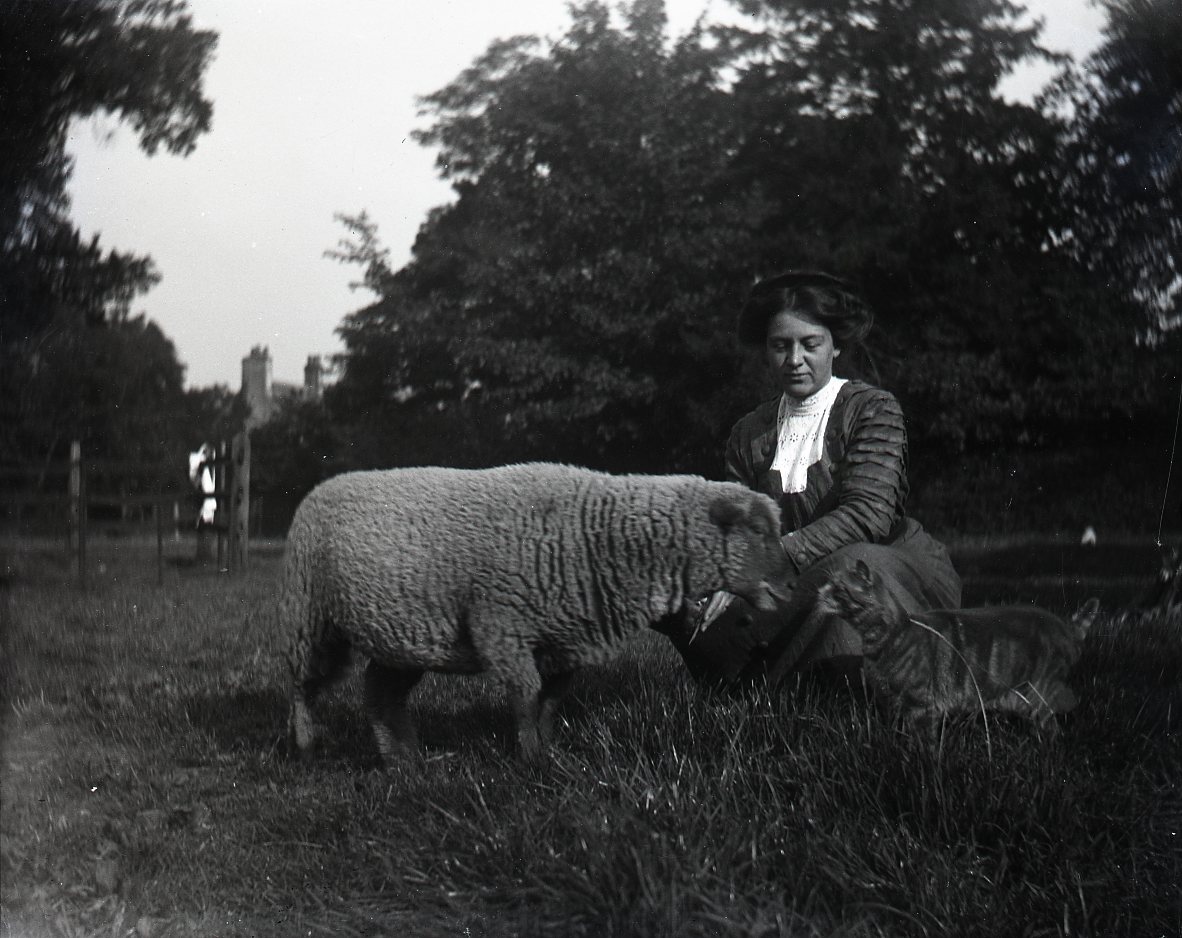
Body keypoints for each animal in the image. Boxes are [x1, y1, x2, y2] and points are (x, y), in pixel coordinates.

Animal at [281, 462, 792, 764]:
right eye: (757, 531)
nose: (789, 588)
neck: (598, 535)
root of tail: (322, 486)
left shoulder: (565, 641)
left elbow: (551, 702)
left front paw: (548, 756)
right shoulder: (503, 627)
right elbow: (526, 696)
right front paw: (528, 761)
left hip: (404, 637)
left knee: (379, 693)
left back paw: (404, 760)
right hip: (309, 619)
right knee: (302, 687)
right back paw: (308, 746)